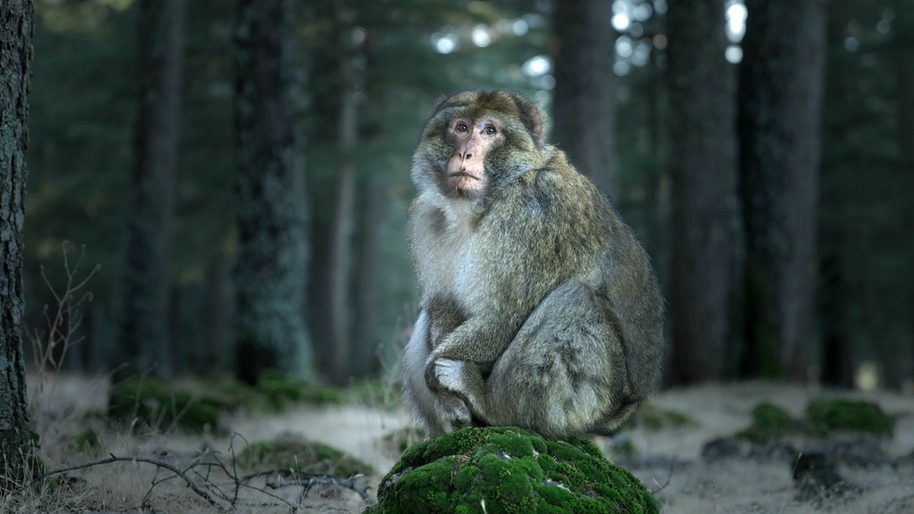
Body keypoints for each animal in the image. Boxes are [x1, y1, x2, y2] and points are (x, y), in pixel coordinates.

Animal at [400, 89, 664, 436]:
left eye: (489, 130)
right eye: (461, 127)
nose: (466, 154)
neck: (480, 206)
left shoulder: (533, 211)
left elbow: (502, 316)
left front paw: (437, 378)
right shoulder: (427, 217)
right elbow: (444, 307)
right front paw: (448, 404)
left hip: (593, 403)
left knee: (575, 300)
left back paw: (490, 403)